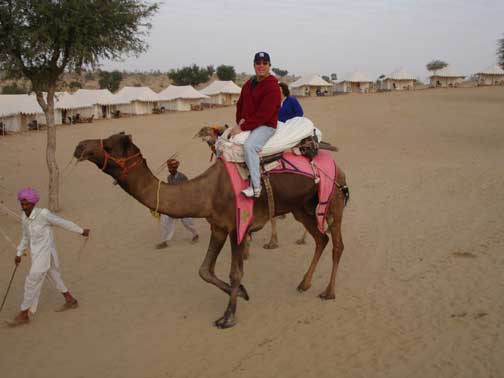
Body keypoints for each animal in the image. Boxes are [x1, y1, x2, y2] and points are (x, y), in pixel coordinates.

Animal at [75, 132, 348, 328]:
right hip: (301, 208)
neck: (206, 192)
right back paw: (304, 284)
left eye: (109, 146)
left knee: (337, 244)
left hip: (332, 199)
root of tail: (337, 164)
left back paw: (329, 292)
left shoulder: (239, 225)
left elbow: (235, 273)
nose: (80, 146)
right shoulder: (218, 227)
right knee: (320, 239)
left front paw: (228, 317)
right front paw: (244, 293)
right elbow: (204, 270)